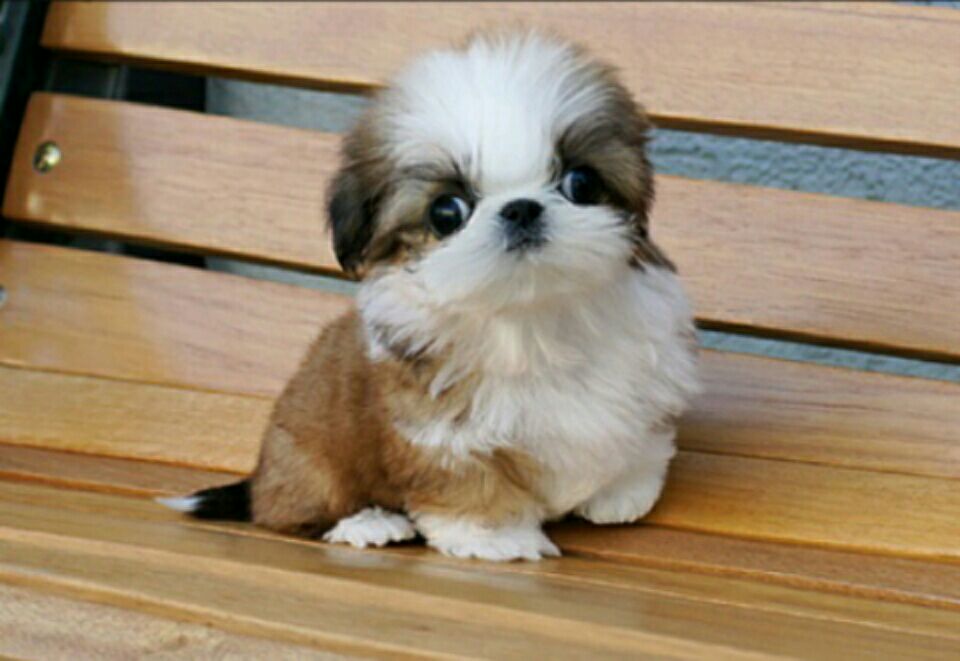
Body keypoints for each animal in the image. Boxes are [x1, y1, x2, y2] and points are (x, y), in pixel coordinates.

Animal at [158, 31, 696, 564]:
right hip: (306, 462)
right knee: (298, 509)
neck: (531, 319)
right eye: (447, 212)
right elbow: (468, 481)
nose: (521, 208)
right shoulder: (438, 428)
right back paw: (368, 523)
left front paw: (622, 490)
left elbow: (638, 434)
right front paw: (495, 537)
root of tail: (261, 478)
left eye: (581, 183)